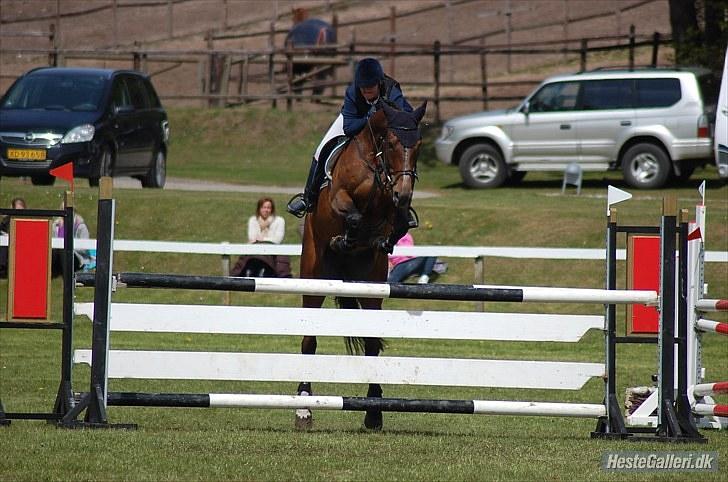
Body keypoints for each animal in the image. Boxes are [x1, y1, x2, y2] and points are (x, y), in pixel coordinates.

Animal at [296, 100, 426, 430]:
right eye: (391, 144)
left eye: (418, 145)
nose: (404, 192)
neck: (376, 169)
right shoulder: (339, 197)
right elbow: (352, 215)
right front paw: (344, 239)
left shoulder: (391, 207)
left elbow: (397, 222)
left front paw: (382, 240)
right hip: (312, 278)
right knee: (309, 341)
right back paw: (303, 407)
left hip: (371, 291)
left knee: (371, 345)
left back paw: (374, 412)